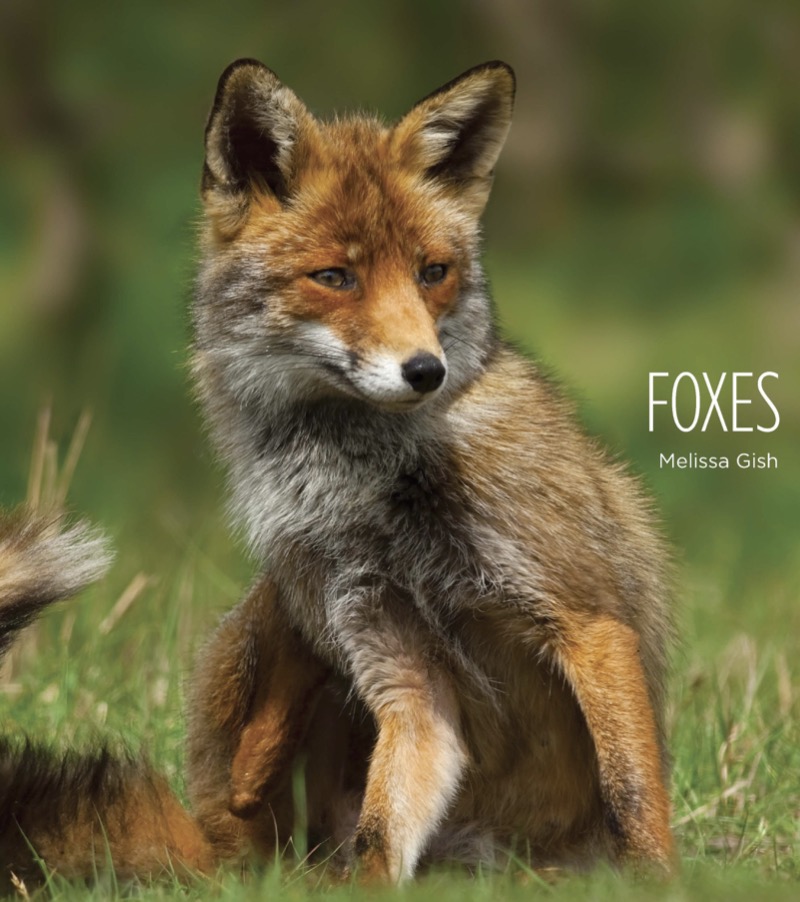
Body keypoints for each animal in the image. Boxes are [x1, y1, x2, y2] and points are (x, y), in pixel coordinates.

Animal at [186, 58, 677, 883]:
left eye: (432, 273)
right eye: (336, 278)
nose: (426, 371)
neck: (373, 491)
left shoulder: (590, 619)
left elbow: (633, 792)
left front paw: (661, 882)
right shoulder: (404, 672)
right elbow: (380, 835)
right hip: (258, 615)